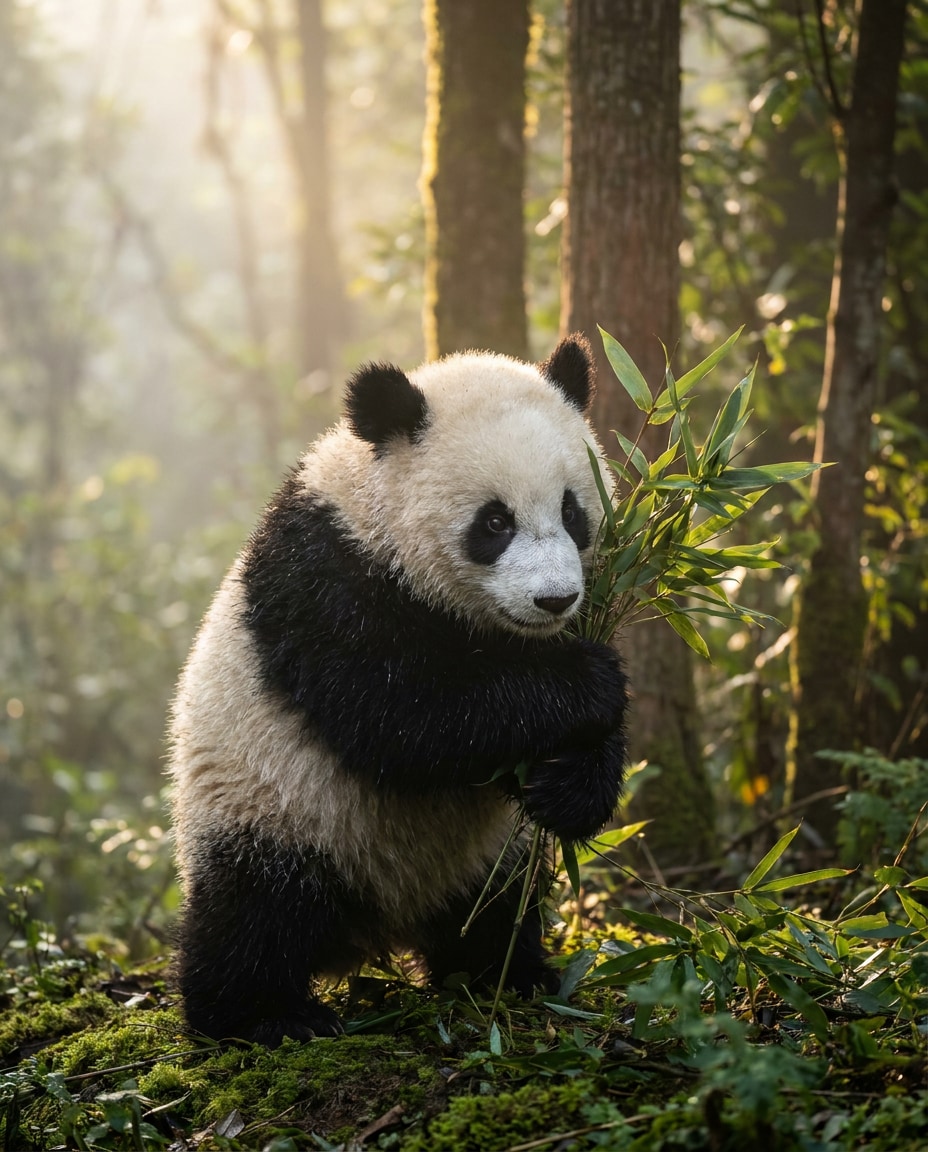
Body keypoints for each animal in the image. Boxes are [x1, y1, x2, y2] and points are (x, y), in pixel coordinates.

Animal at [167, 334, 628, 1046]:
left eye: (572, 510)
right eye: (494, 522)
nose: (555, 599)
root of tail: (378, 926)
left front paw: (569, 788)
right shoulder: (327, 582)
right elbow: (403, 716)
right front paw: (590, 681)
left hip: (483, 854)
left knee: (495, 906)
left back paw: (506, 975)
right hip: (274, 805)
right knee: (255, 910)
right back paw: (262, 1014)